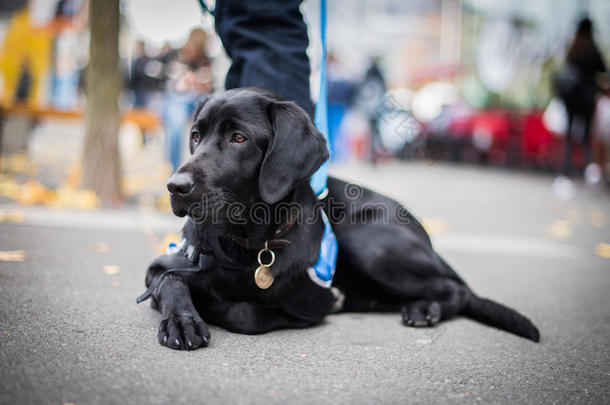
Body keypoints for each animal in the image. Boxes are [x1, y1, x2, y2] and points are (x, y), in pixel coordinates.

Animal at [139, 87, 536, 348]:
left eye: (239, 138)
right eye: (195, 136)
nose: (174, 186)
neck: (248, 244)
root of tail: (423, 233)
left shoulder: (313, 302)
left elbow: (246, 314)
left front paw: (213, 304)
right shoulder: (161, 265)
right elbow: (171, 280)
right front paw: (182, 319)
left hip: (373, 245)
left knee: (457, 289)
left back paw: (425, 308)